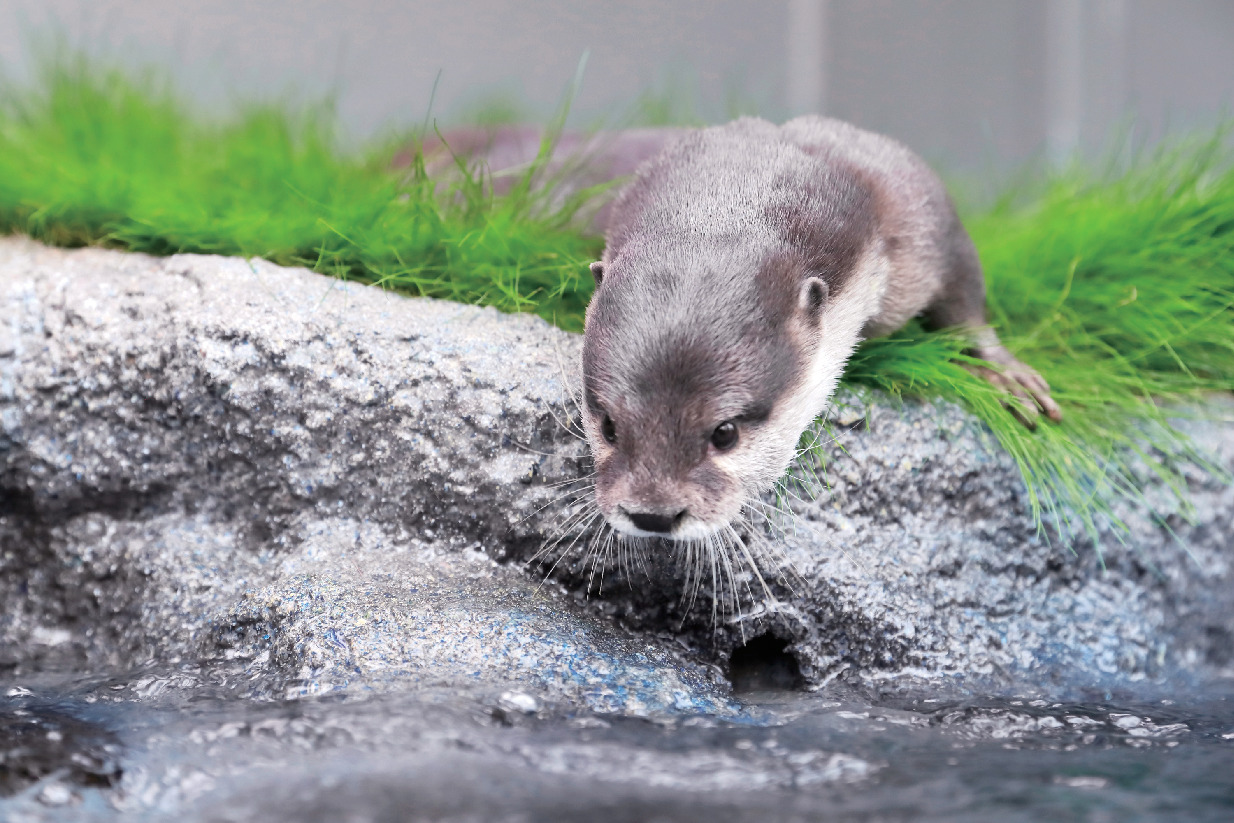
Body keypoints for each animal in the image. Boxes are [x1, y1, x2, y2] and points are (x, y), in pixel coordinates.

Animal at [577, 115, 1061, 540]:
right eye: (609, 427)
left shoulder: (920, 211)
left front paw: (1003, 373)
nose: (653, 515)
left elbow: (964, 292)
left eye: (725, 433)